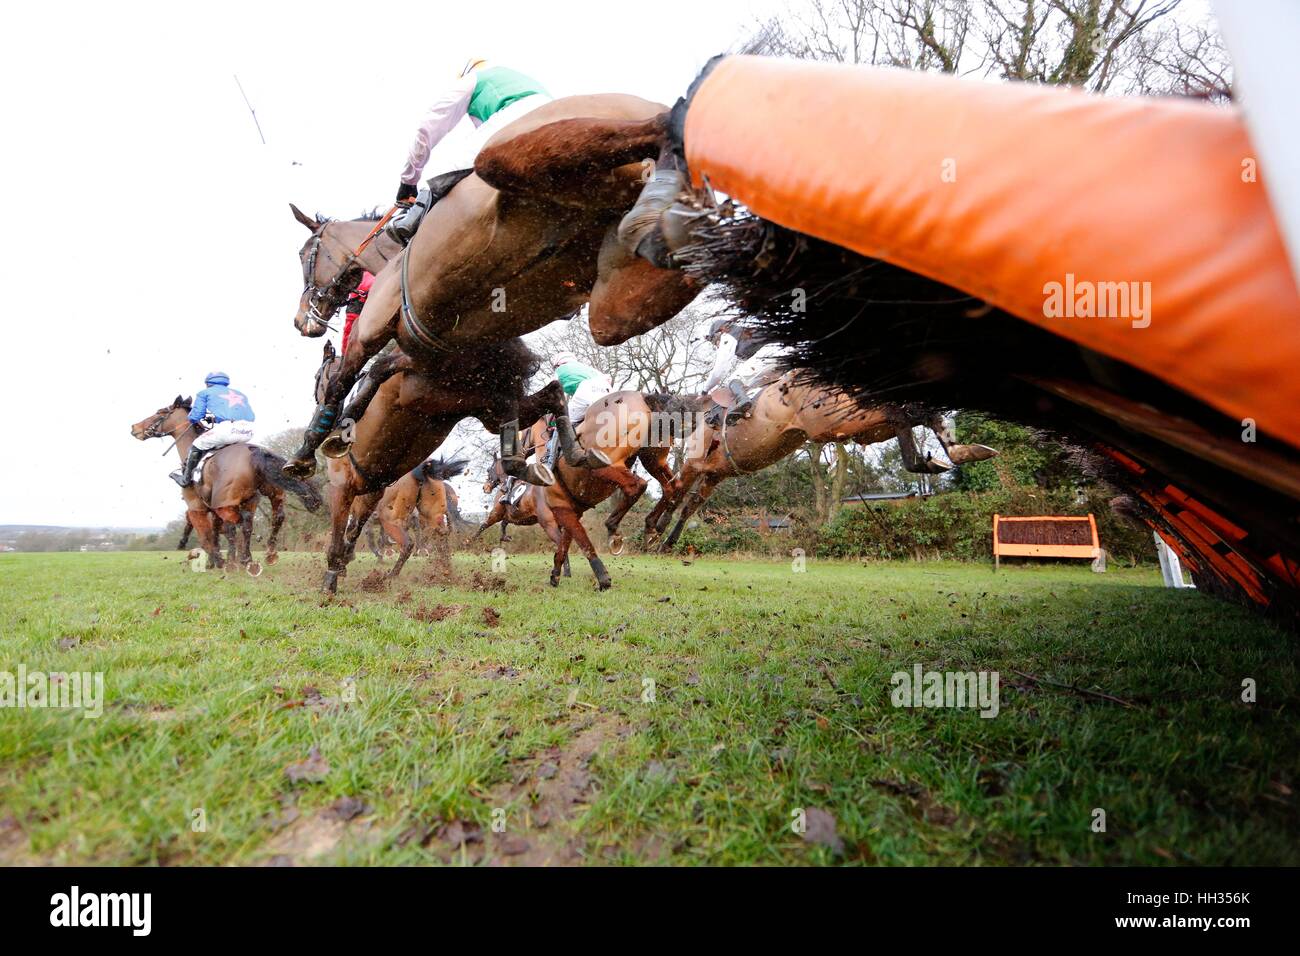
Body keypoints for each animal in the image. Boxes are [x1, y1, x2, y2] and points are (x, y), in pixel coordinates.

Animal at [128, 400, 321, 572]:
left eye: (160, 412)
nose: (134, 428)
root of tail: (255, 452)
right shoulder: (215, 509)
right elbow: (217, 531)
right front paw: (221, 559)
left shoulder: (196, 507)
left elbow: (206, 534)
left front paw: (215, 560)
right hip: (268, 494)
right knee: (273, 518)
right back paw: (264, 555)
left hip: (227, 503)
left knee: (239, 523)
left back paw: (238, 559)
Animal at [287, 94, 702, 481]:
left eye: (305, 255)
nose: (302, 322)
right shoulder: (479, 393)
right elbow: (541, 406)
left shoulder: (373, 331)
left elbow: (346, 378)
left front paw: (314, 445)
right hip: (613, 309)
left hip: (517, 156)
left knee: (650, 129)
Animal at [650, 374, 993, 548]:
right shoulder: (712, 474)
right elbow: (686, 502)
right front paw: (663, 536)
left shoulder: (695, 466)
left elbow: (675, 493)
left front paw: (654, 528)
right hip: (859, 428)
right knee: (904, 415)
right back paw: (955, 452)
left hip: (835, 421)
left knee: (900, 412)